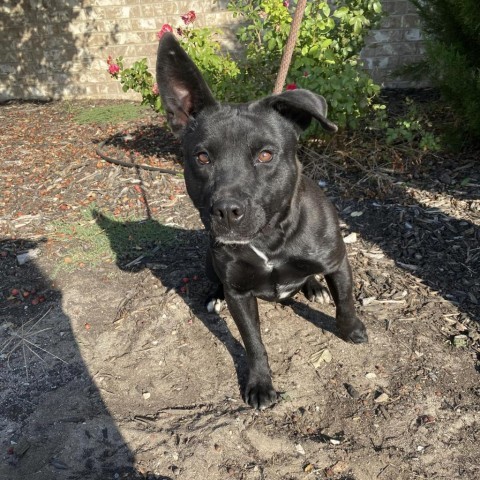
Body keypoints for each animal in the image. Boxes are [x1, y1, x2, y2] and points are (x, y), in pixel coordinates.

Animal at [158, 33, 368, 408]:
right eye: (202, 157)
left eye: (266, 155)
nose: (226, 211)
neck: (271, 239)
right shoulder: (240, 294)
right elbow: (253, 343)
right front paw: (259, 383)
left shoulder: (336, 262)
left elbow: (345, 301)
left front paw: (350, 330)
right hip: (210, 259)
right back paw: (214, 297)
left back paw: (314, 287)